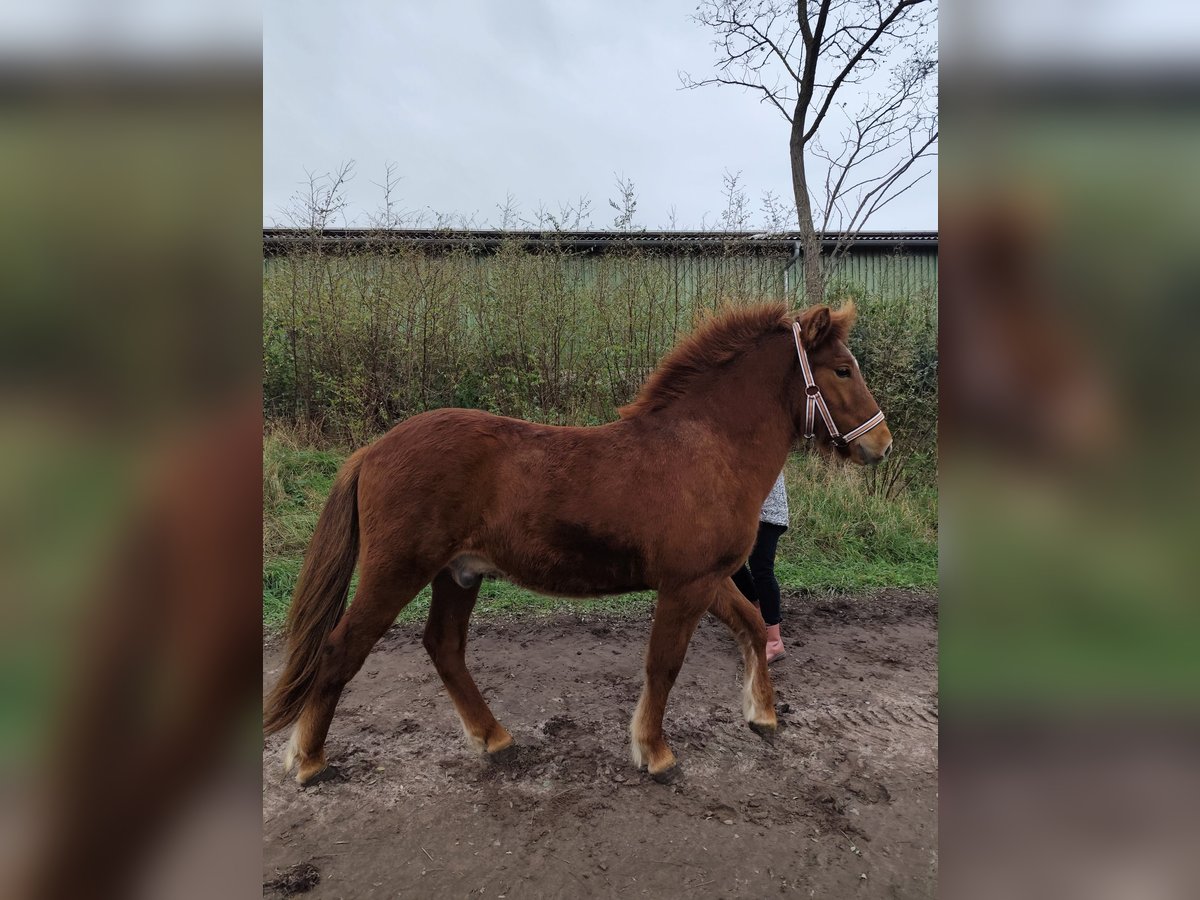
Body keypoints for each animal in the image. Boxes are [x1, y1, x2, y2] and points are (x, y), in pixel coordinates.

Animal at [263, 301, 892, 783]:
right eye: (842, 369)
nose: (881, 443)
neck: (706, 447)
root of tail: (372, 451)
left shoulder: (709, 579)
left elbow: (754, 626)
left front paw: (762, 715)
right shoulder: (685, 586)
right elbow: (664, 664)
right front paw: (654, 752)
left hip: (457, 573)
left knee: (443, 646)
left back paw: (493, 737)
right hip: (397, 571)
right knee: (342, 648)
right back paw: (308, 760)